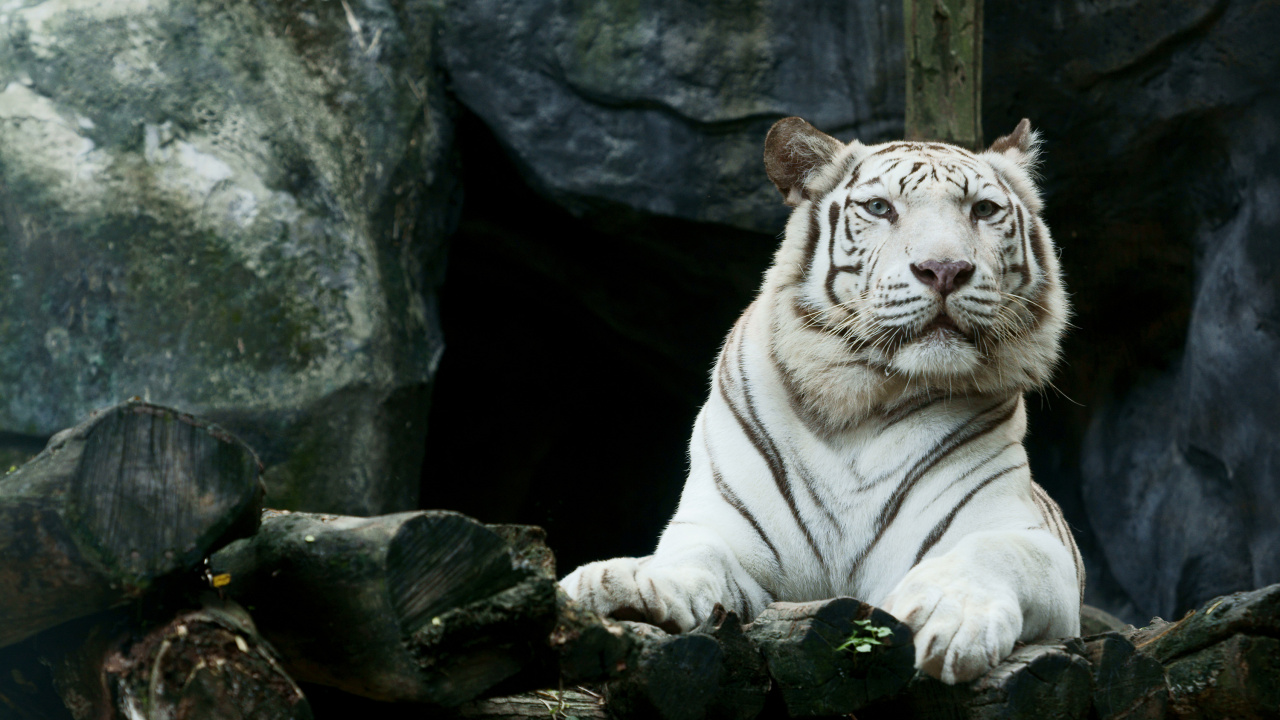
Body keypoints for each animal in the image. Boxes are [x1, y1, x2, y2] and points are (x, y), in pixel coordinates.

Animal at [560, 117, 1083, 684]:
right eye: (879, 207)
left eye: (983, 210)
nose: (944, 269)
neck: (860, 406)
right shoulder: (727, 531)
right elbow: (692, 557)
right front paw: (629, 586)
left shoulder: (1017, 531)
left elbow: (992, 552)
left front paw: (950, 615)